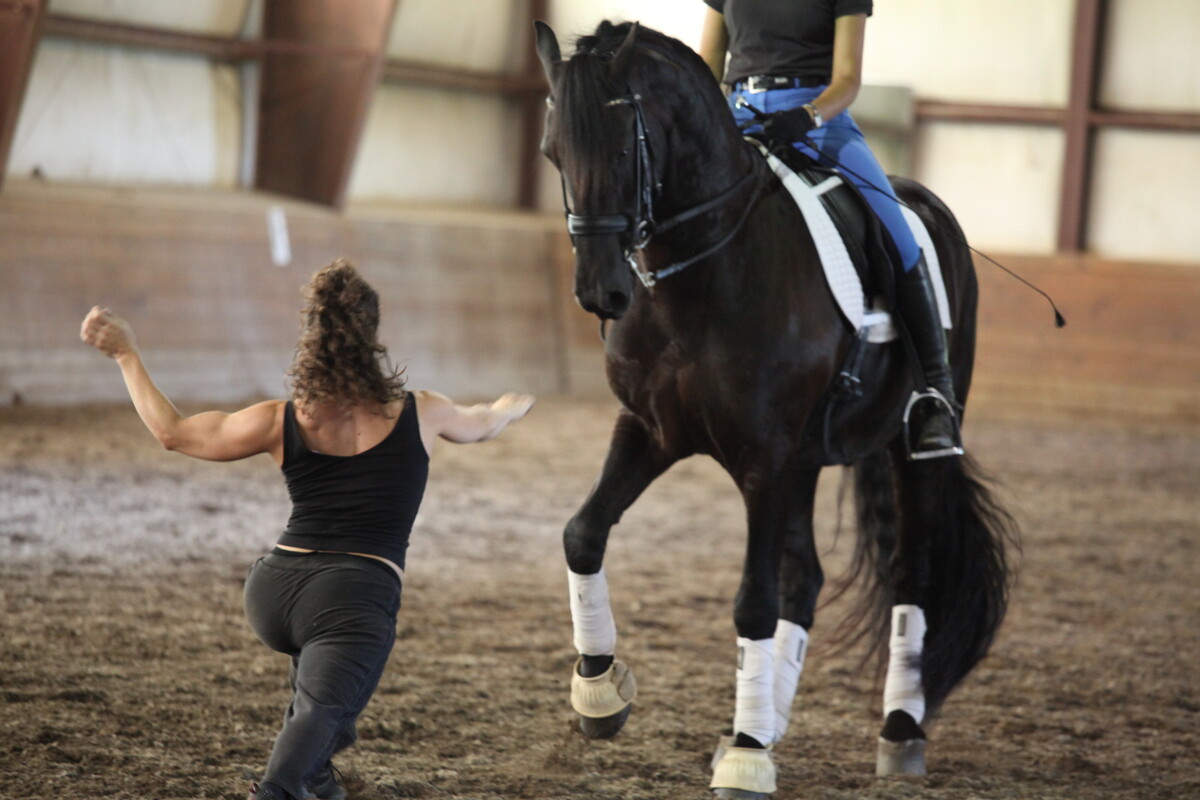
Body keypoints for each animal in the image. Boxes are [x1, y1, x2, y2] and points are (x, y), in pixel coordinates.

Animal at [534, 19, 1017, 798]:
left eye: (620, 150)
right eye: (554, 154)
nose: (600, 293)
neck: (699, 272)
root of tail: (927, 204)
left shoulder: (764, 455)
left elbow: (752, 601)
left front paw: (746, 759)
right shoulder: (652, 431)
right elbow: (583, 534)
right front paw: (601, 693)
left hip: (908, 449)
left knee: (911, 572)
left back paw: (896, 730)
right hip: (806, 461)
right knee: (805, 578)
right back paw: (763, 723)